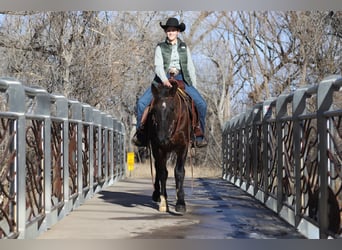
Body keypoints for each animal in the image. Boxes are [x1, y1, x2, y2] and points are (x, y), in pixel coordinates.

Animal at [146, 79, 194, 212]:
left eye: (172, 108)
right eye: (154, 110)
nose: (162, 139)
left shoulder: (183, 147)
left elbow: (179, 172)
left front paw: (181, 203)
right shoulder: (159, 148)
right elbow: (162, 172)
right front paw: (164, 202)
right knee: (158, 168)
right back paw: (157, 194)